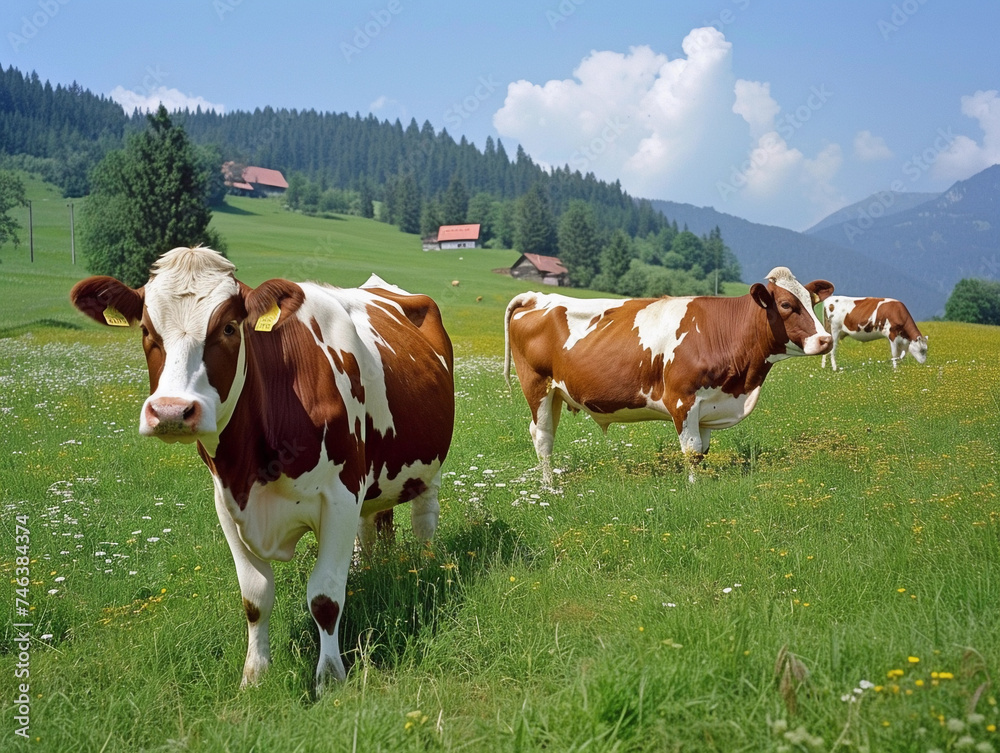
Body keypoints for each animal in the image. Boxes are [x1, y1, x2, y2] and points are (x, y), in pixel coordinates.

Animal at [71, 244, 458, 692]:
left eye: (228, 328)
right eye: (148, 331)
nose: (170, 411)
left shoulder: (340, 495)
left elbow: (325, 597)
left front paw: (330, 678)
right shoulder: (227, 501)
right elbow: (255, 597)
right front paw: (254, 675)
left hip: (428, 469)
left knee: (424, 523)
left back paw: (424, 568)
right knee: (371, 528)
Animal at [500, 268, 836, 484]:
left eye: (812, 302)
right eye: (786, 304)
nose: (825, 340)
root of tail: (538, 296)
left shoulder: (708, 406)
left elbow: (702, 451)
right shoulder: (682, 399)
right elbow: (690, 450)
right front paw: (693, 488)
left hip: (557, 392)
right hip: (537, 386)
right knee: (543, 437)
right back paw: (549, 489)